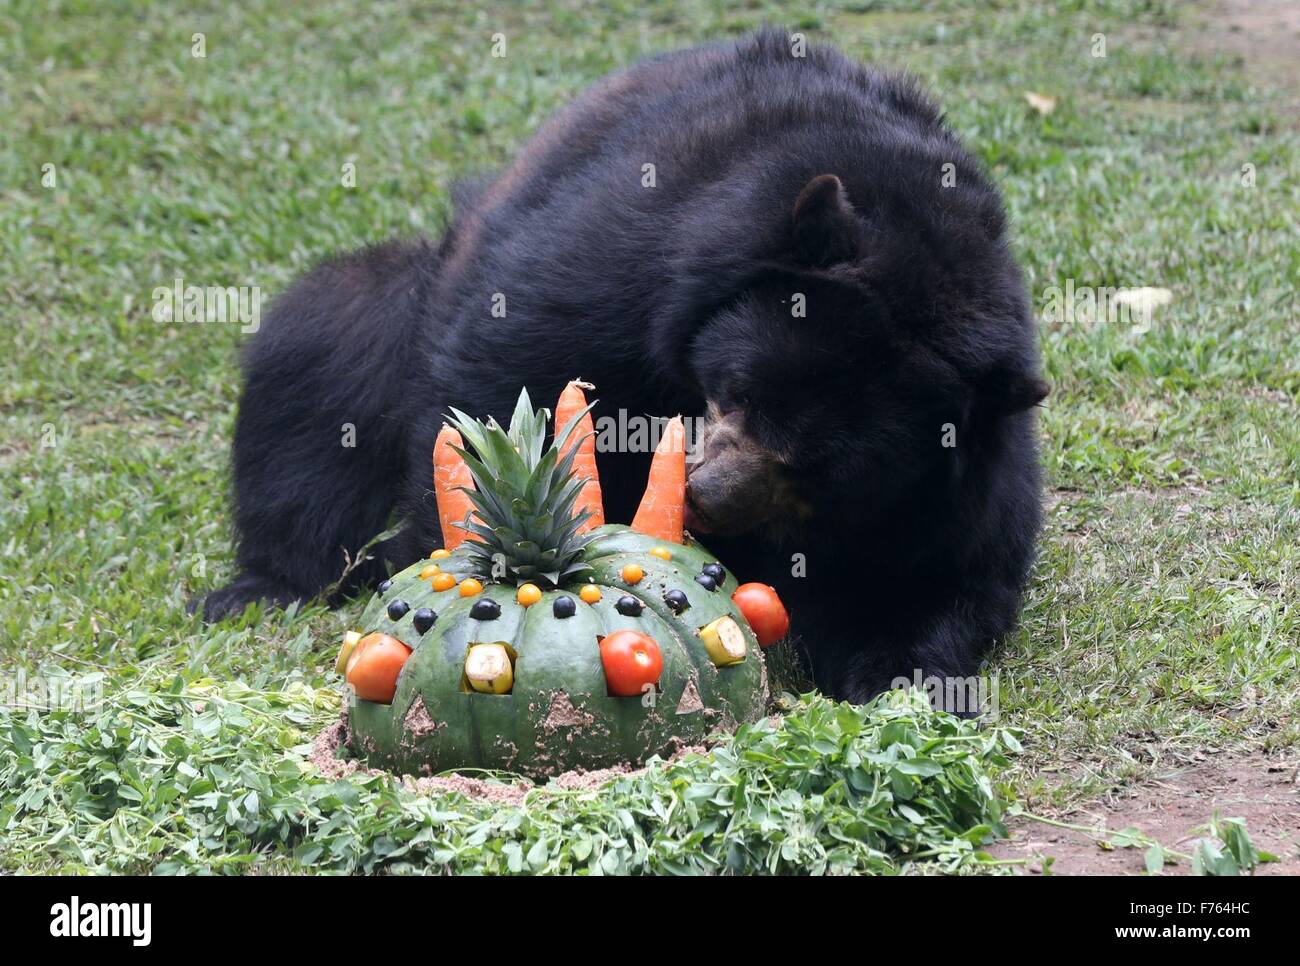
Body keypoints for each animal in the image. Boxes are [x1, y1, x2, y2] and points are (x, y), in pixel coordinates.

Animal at [200, 30, 1045, 707]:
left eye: (815, 468)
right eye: (737, 394)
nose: (706, 497)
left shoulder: (963, 467)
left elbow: (935, 570)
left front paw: (907, 681)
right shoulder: (632, 254)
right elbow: (507, 381)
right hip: (392, 307)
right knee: (312, 375)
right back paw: (260, 586)